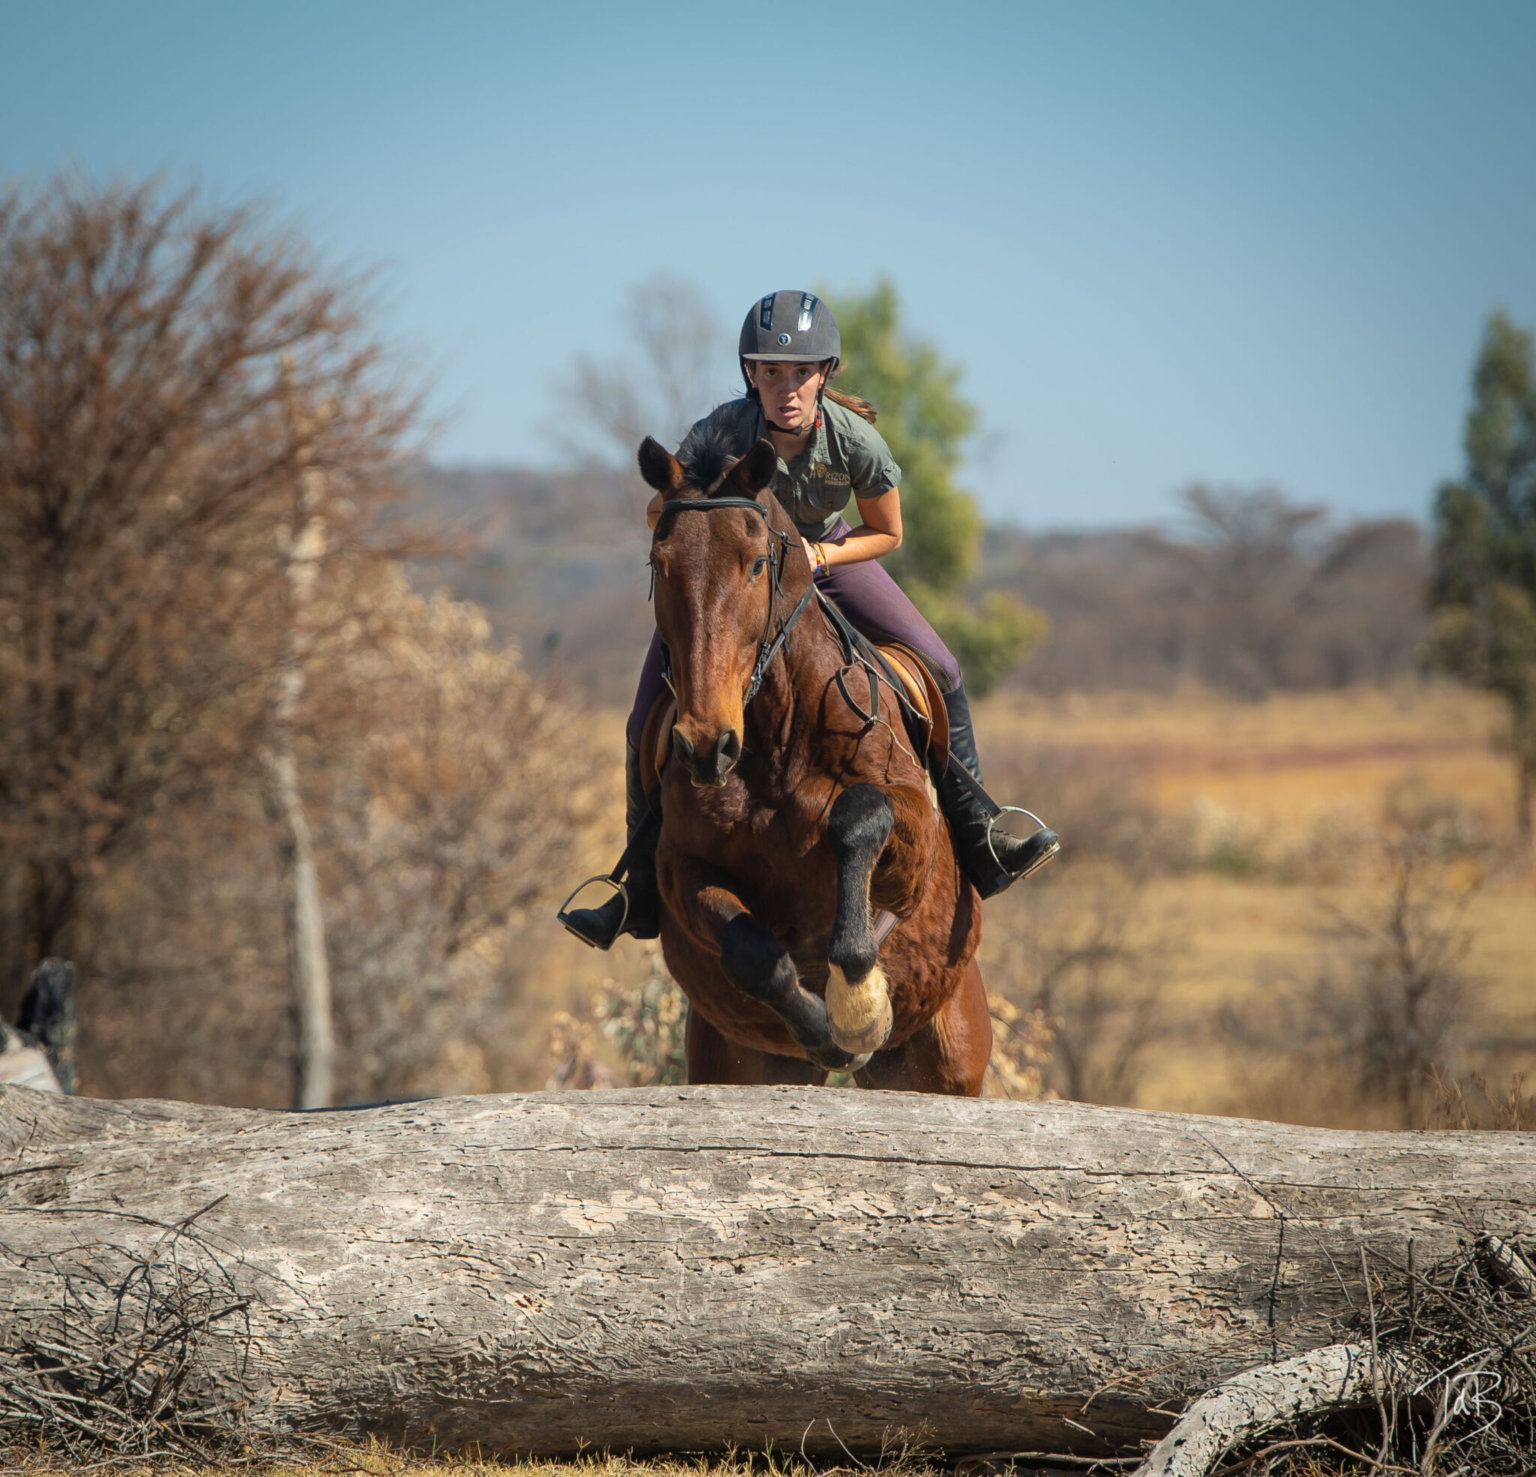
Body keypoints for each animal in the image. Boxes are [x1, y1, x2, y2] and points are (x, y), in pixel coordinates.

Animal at [638, 434, 991, 1096]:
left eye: (756, 564)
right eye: (659, 563)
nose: (706, 746)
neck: (776, 736)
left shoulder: (914, 839)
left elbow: (858, 815)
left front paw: (859, 1006)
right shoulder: (679, 865)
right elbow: (753, 954)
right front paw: (828, 1028)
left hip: (947, 1058)